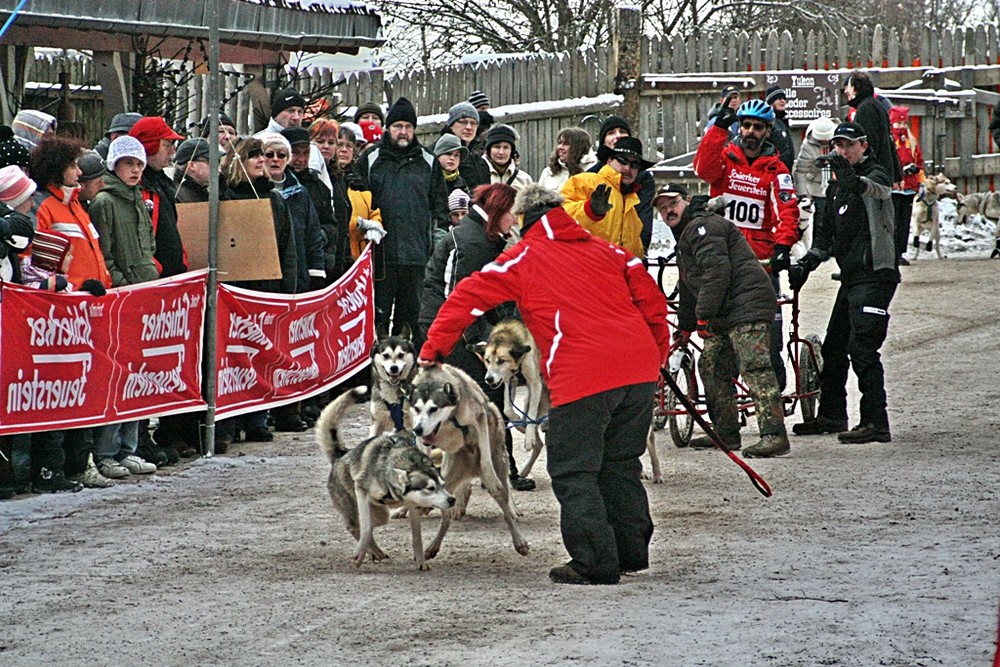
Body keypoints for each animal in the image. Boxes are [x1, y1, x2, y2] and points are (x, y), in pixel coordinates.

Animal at [318, 388, 456, 572]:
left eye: (442, 485)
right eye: (430, 488)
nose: (452, 499)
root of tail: (341, 454)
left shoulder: (412, 505)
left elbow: (417, 537)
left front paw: (420, 560)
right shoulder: (361, 488)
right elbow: (366, 528)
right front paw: (359, 555)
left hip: (380, 514)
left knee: (364, 526)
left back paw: (375, 551)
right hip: (359, 505)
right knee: (355, 526)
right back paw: (370, 550)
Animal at [406, 362, 532, 560]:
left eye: (433, 409)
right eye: (417, 409)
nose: (418, 429)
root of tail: (472, 470)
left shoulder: (479, 418)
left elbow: (485, 455)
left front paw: (489, 475)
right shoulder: (420, 436)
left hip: (500, 469)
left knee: (506, 510)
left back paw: (519, 540)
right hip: (447, 484)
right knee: (446, 518)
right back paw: (433, 545)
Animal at [472, 320, 552, 480]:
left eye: (501, 361)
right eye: (487, 360)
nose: (489, 379)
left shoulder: (535, 383)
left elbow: (531, 415)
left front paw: (528, 437)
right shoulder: (509, 381)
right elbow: (507, 409)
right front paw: (518, 422)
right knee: (539, 443)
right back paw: (526, 468)